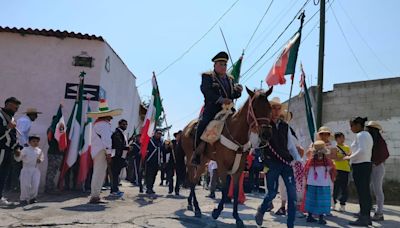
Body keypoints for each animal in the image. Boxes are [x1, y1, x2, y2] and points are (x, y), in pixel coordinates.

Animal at [180, 86, 274, 227]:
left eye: (269, 108)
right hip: (192, 160)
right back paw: (196, 208)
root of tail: (187, 128)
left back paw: (191, 204)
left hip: (203, 161)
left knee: (195, 180)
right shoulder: (222, 166)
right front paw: (216, 212)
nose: (266, 134)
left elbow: (234, 191)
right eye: (255, 108)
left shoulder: (238, 168)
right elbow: (224, 190)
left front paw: (237, 217)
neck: (236, 134)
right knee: (192, 181)